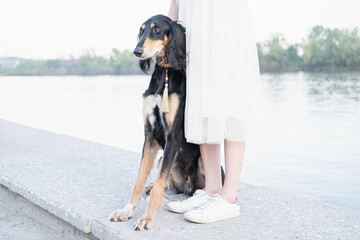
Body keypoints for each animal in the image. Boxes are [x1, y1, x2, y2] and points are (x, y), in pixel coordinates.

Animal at [109, 14, 222, 231]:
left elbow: (159, 186)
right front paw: (126, 210)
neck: (165, 75)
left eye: (156, 30)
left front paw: (146, 218)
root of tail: (188, 186)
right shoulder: (150, 135)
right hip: (162, 159)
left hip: (199, 164)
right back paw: (150, 186)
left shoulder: (172, 138)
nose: (137, 51)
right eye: (141, 30)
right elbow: (139, 180)